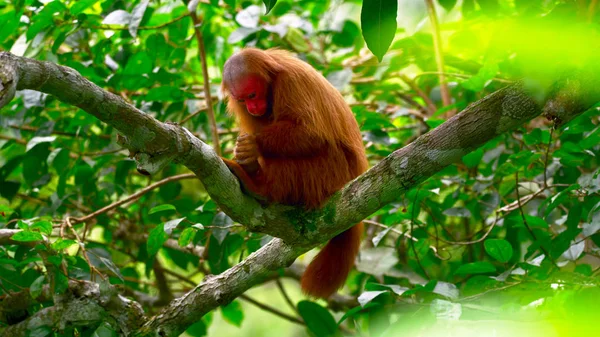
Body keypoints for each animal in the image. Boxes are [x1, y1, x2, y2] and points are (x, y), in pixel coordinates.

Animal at [220, 46, 368, 296]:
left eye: (252, 95)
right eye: (242, 99)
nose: (253, 107)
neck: (272, 84)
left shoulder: (291, 84)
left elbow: (311, 134)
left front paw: (252, 146)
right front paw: (249, 156)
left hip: (330, 173)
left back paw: (259, 186)